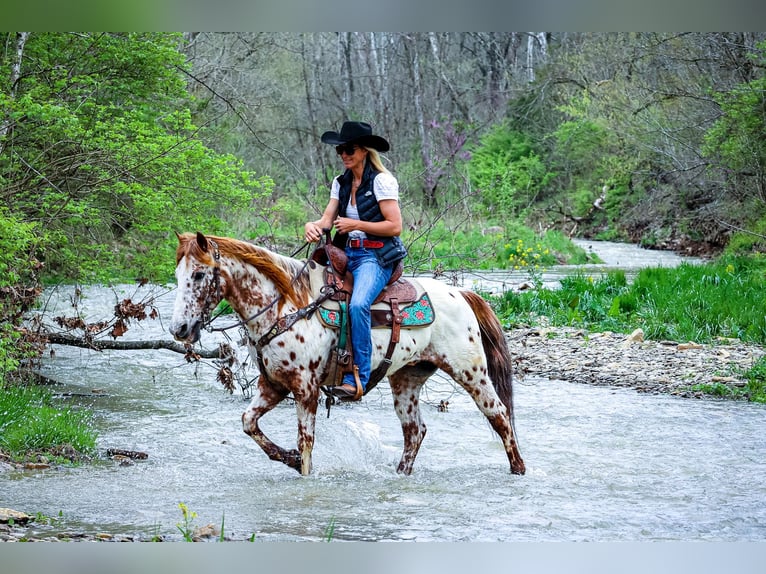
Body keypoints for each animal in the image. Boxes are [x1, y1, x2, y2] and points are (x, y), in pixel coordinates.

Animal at [170, 232, 524, 480]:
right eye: (177, 276)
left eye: (198, 275)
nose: (179, 328)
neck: (286, 306)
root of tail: (461, 293)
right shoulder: (274, 386)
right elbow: (248, 422)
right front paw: (288, 459)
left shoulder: (305, 389)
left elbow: (306, 441)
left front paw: (303, 470)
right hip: (407, 378)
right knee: (415, 431)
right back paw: (400, 474)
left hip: (471, 372)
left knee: (499, 415)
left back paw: (518, 470)